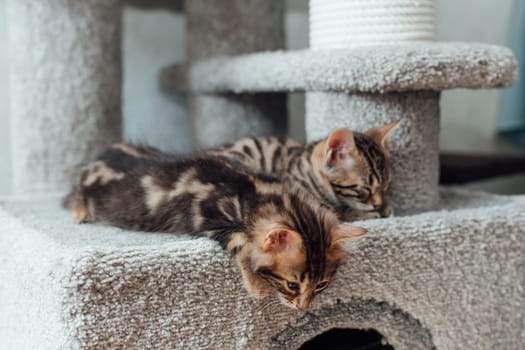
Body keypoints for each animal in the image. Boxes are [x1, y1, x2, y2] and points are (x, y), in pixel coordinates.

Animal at [63, 146, 366, 310]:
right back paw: (79, 213)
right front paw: (257, 286)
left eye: (321, 285)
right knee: (73, 196)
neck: (257, 194)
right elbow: (242, 242)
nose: (302, 308)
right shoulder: (210, 216)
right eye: (292, 284)